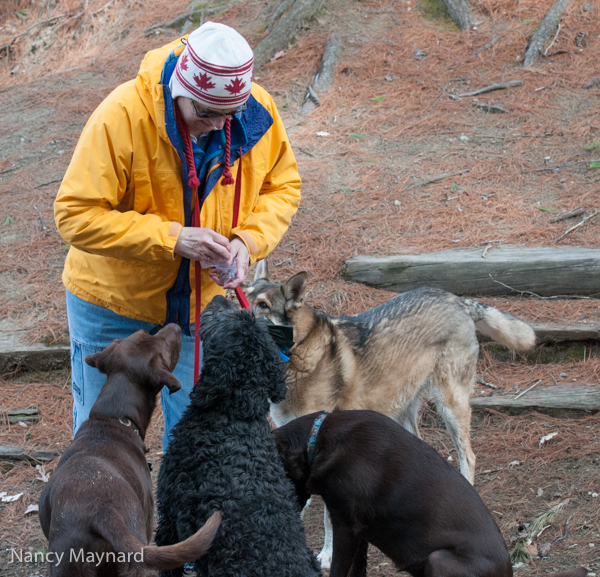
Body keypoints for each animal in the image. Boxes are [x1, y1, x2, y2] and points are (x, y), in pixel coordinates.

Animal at [246, 260, 536, 568]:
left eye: (262, 305)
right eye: (242, 295)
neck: (297, 355)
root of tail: (455, 298)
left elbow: (327, 520)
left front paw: (325, 554)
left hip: (449, 405)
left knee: (468, 456)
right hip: (405, 415)